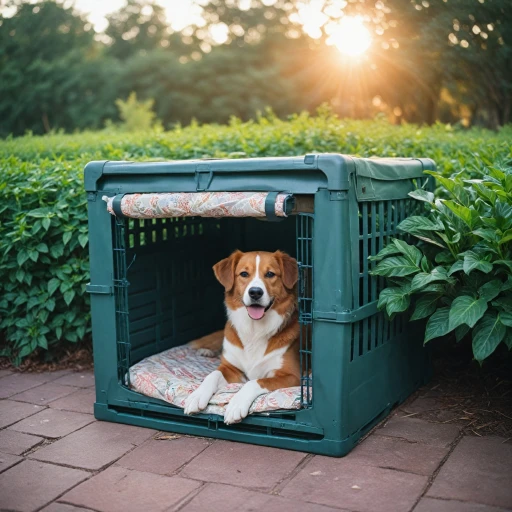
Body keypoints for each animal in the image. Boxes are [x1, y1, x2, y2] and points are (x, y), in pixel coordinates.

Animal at [184, 249, 300, 424]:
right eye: (244, 274)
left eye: (270, 274)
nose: (255, 292)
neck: (254, 329)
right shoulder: (231, 368)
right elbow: (212, 375)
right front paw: (197, 396)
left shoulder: (292, 376)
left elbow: (254, 382)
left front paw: (236, 405)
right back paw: (206, 351)